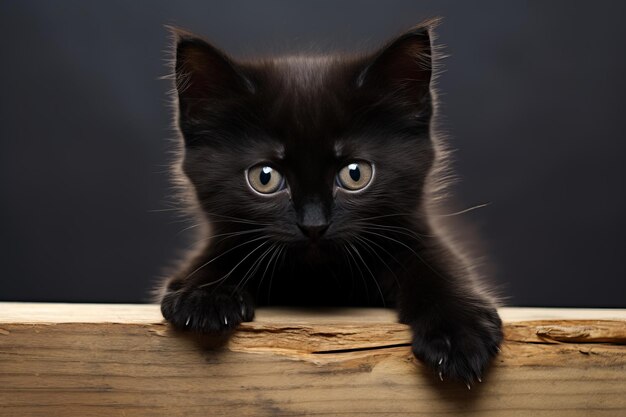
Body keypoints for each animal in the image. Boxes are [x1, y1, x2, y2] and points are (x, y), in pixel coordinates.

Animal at [160, 18, 502, 384]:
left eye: (355, 174)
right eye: (264, 178)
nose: (313, 224)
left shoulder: (416, 237)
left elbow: (440, 266)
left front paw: (459, 335)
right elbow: (220, 256)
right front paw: (204, 294)